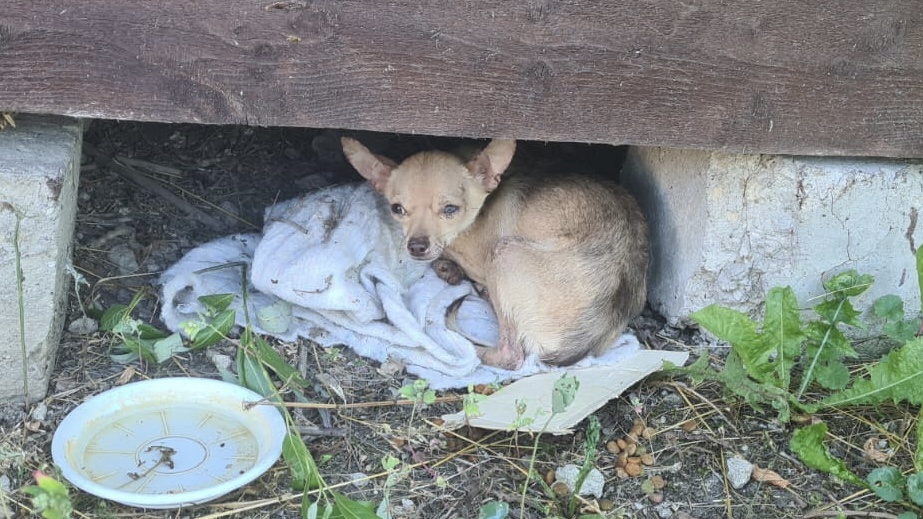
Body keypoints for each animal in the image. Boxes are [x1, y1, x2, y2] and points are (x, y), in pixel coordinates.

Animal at [340, 137, 648, 370]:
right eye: (397, 209)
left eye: (450, 209)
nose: (416, 245)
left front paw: (448, 267)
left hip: (504, 255)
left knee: (511, 354)